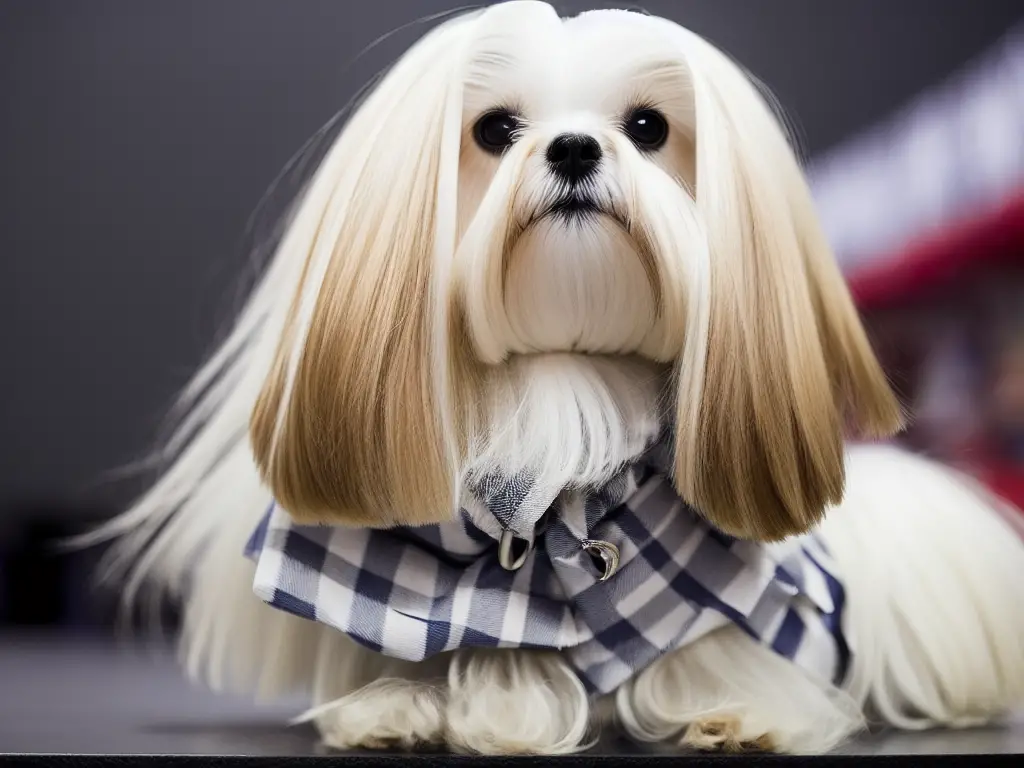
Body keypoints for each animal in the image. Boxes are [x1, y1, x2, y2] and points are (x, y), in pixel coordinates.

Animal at [92, 1, 1024, 757]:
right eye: (494, 130)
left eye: (647, 126)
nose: (575, 145)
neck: (566, 378)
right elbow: (449, 640)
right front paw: (409, 707)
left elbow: (710, 652)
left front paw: (734, 712)